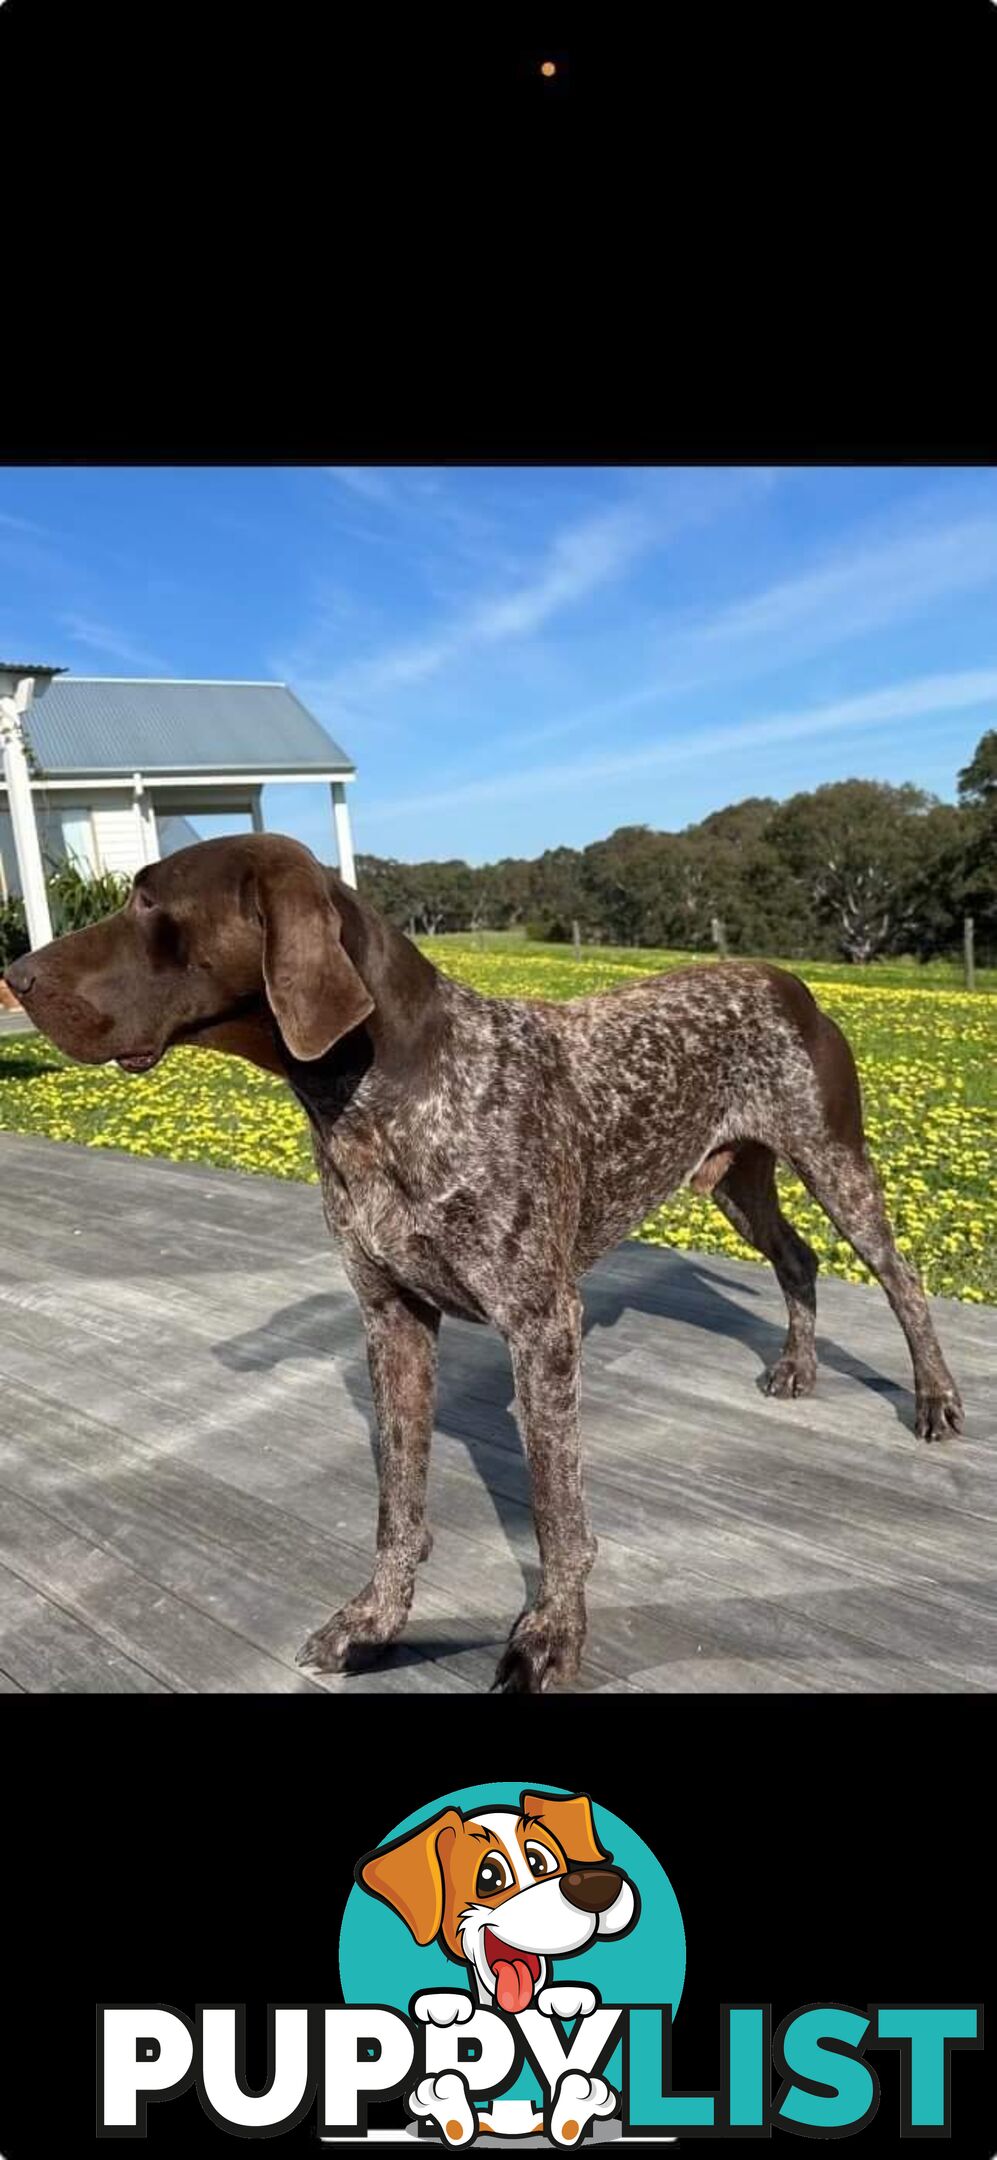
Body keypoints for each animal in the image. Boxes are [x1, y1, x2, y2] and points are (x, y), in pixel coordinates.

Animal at [3, 833, 962, 1693]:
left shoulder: (540, 1326)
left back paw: (933, 1401)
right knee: (796, 1259)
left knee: (902, 1280)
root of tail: (780, 976)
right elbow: (397, 1501)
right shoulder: (392, 1319)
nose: (16, 975)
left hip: (833, 1163)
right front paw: (375, 1621)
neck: (378, 1094)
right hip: (736, 1179)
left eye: (147, 902)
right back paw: (798, 1366)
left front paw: (551, 1639)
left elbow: (554, 1515)